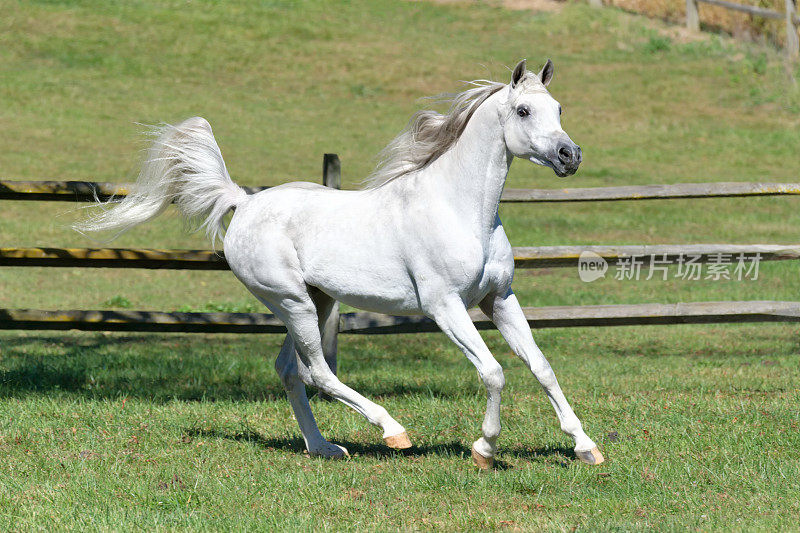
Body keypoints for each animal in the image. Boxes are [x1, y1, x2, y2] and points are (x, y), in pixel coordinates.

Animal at [76, 58, 600, 466]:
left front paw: (585, 447)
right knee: (316, 372)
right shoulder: (444, 306)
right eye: (523, 110)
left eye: (559, 108)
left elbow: (541, 367)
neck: (459, 209)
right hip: (292, 302)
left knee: (290, 371)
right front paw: (485, 450)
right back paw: (392, 431)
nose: (569, 154)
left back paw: (323, 447)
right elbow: (493, 372)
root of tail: (244, 202)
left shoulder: (499, 298)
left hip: (317, 301)